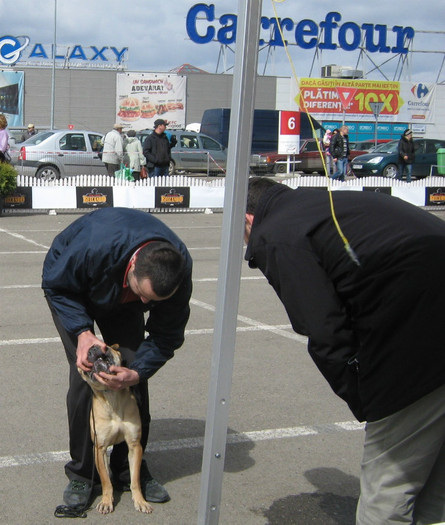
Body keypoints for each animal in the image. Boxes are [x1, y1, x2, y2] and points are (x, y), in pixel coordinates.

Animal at [80, 342, 154, 512]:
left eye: (104, 346)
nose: (92, 349)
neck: (111, 397)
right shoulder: (99, 448)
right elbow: (106, 480)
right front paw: (106, 501)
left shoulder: (134, 445)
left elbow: (135, 479)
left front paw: (140, 500)